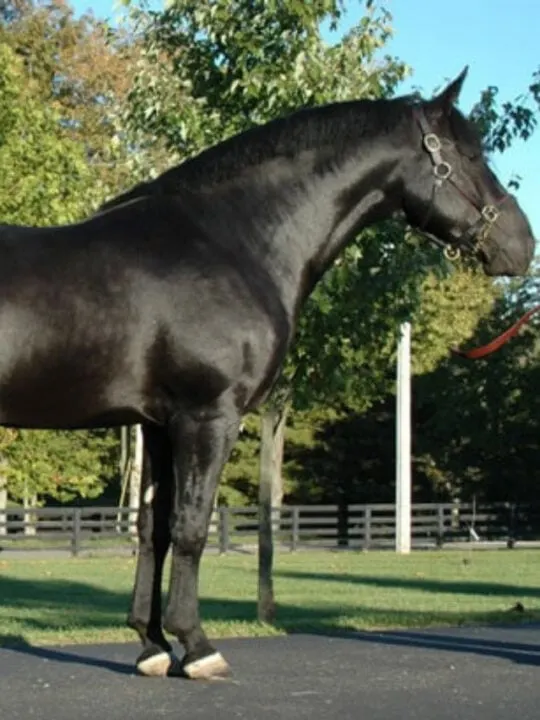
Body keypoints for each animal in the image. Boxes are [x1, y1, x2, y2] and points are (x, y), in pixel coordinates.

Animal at [0, 66, 534, 680]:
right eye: (469, 155)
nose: (521, 244)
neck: (232, 241)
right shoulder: (208, 415)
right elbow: (190, 526)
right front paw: (197, 646)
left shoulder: (157, 424)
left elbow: (153, 528)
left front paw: (152, 645)